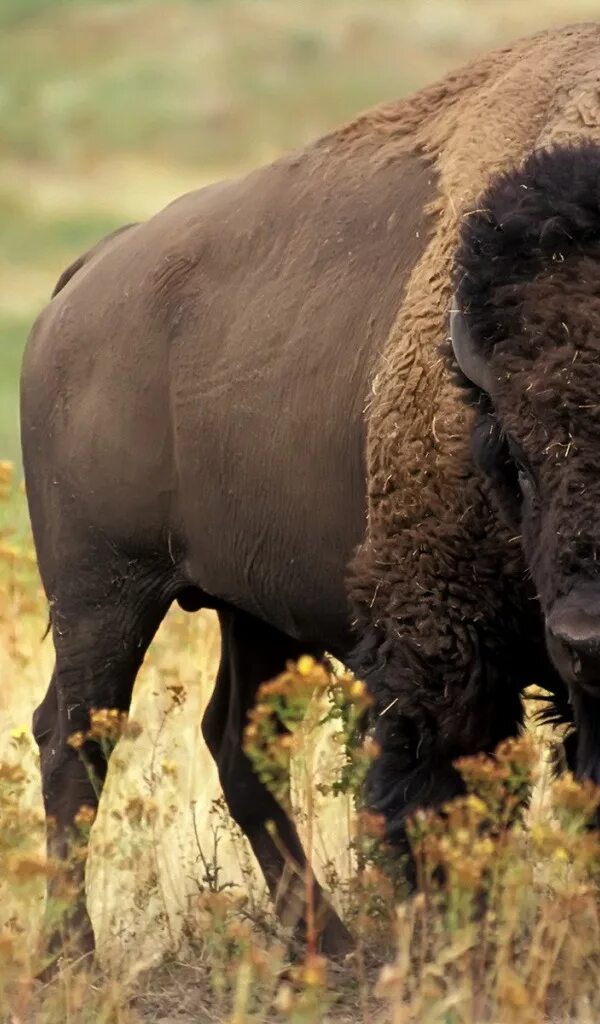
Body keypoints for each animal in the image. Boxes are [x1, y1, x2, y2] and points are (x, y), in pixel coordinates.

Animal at [20, 19, 600, 962]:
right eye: (510, 453)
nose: (588, 634)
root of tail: (87, 275)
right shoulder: (439, 648)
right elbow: (439, 796)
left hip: (248, 606)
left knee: (232, 741)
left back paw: (326, 945)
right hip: (102, 591)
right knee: (73, 739)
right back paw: (75, 953)